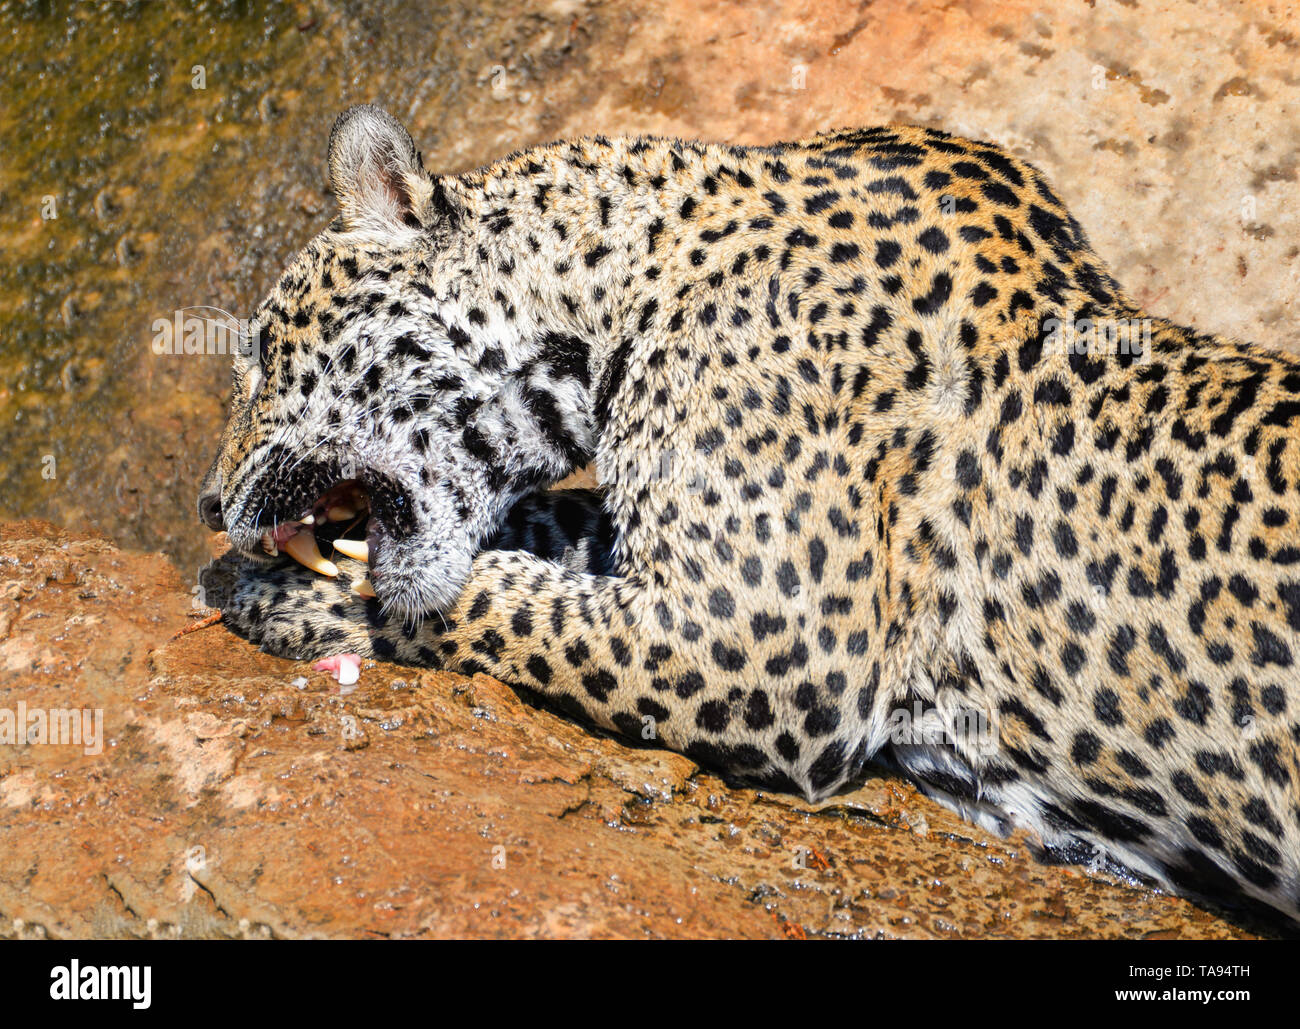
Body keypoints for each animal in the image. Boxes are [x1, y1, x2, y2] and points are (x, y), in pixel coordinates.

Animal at [195, 104, 1300, 930]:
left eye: (258, 352)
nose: (207, 501)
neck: (614, 287)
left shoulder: (766, 637)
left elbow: (496, 604)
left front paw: (285, 597)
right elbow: (545, 534)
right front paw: (256, 573)